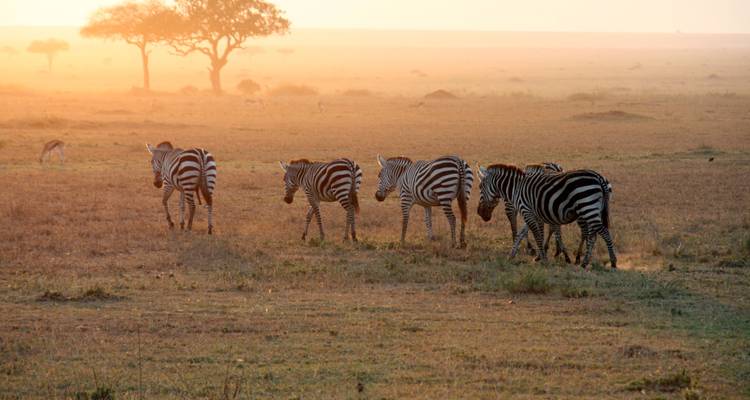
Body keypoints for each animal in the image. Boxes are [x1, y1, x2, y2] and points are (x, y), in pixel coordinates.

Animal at [477, 163, 615, 268]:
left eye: (480, 187)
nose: (479, 212)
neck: (517, 188)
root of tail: (599, 178)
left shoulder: (527, 211)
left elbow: (537, 235)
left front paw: (543, 258)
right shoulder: (534, 214)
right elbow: (524, 234)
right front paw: (512, 255)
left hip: (587, 207)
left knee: (604, 232)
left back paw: (613, 262)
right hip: (591, 210)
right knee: (593, 235)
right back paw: (585, 262)